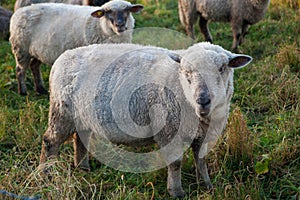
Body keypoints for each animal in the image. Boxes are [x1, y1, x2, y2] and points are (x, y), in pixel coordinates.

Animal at [9, 0, 144, 95]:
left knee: (34, 66)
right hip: (21, 49)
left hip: (38, 51)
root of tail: (19, 12)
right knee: (20, 70)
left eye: (128, 10)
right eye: (107, 12)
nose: (119, 25)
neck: (99, 25)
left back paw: (40, 89)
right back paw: (23, 92)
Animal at [38, 41, 252, 197]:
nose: (203, 100)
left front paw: (206, 185)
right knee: (50, 141)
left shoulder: (202, 133)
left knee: (80, 138)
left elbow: (201, 159)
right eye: (186, 72)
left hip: (82, 115)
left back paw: (83, 168)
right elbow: (175, 163)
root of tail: (62, 59)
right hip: (61, 112)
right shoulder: (169, 130)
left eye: (222, 68)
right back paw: (45, 173)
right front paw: (177, 192)